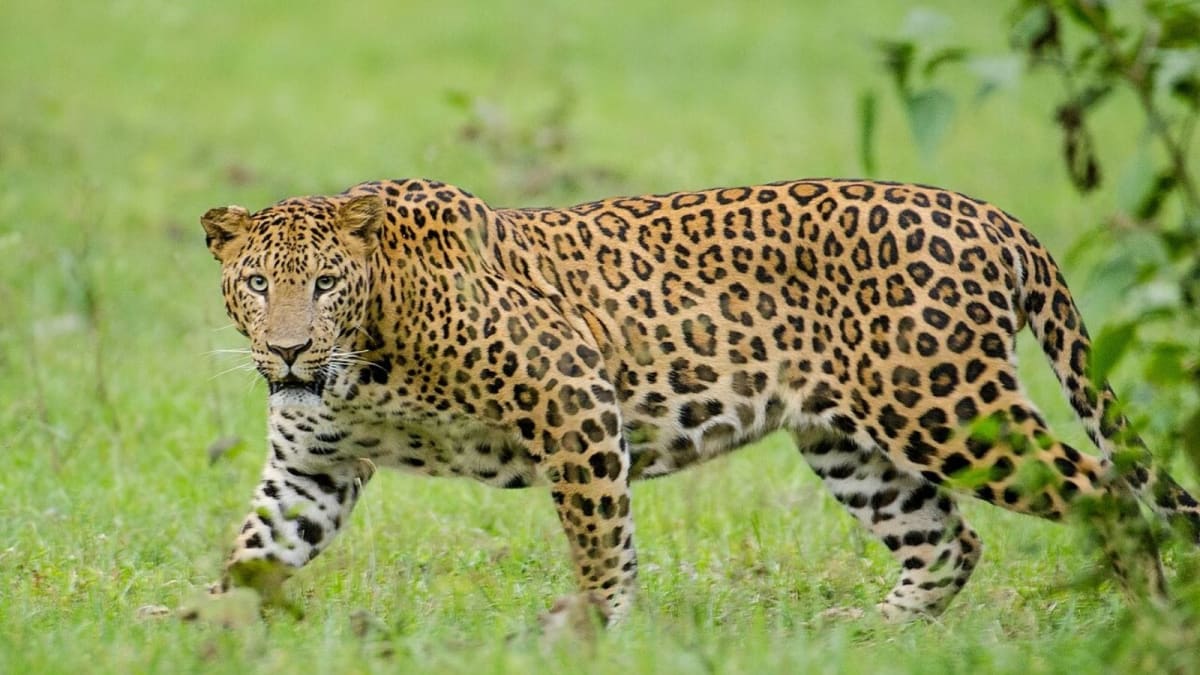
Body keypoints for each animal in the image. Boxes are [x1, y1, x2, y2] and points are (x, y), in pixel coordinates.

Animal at [201, 177, 1200, 624]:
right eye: (256, 283)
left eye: (325, 283)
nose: (288, 349)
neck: (365, 359)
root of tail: (994, 216)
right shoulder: (312, 466)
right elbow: (254, 549)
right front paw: (197, 628)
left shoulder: (573, 396)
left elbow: (599, 539)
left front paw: (593, 630)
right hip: (850, 441)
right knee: (948, 539)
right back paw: (872, 635)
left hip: (946, 406)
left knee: (1108, 494)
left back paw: (1151, 620)